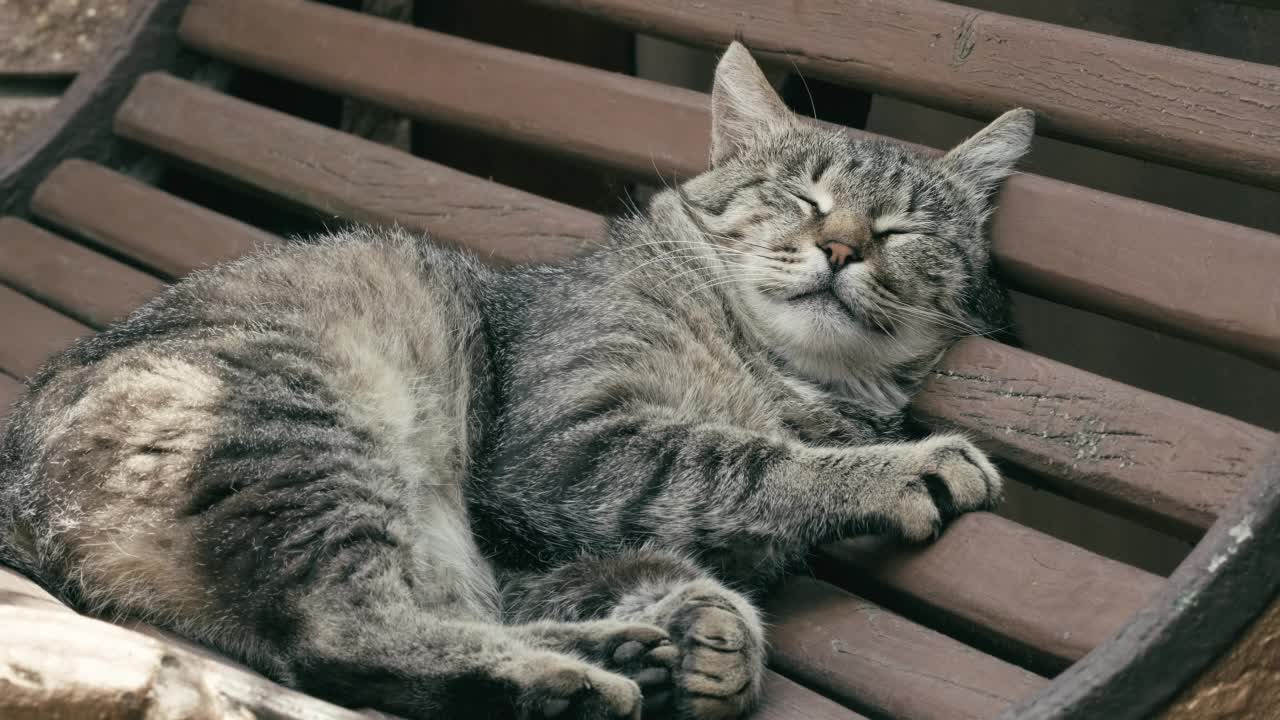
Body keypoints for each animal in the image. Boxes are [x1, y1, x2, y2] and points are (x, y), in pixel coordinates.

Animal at [0, 41, 1034, 712]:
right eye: (802, 196)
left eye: (903, 228)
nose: (842, 247)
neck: (776, 375)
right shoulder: (566, 447)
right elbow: (738, 463)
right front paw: (899, 467)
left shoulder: (524, 554)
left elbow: (648, 562)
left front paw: (711, 635)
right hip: (303, 428)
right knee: (338, 634)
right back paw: (562, 678)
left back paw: (618, 655)